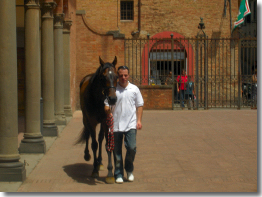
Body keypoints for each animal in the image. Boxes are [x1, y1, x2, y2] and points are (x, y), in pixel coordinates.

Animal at [77, 56, 117, 184]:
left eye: (116, 76)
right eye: (103, 77)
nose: (112, 99)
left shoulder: (105, 121)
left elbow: (106, 144)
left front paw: (110, 174)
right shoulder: (91, 122)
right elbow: (94, 144)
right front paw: (94, 170)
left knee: (100, 138)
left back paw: (100, 162)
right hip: (85, 119)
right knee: (88, 135)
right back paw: (88, 156)